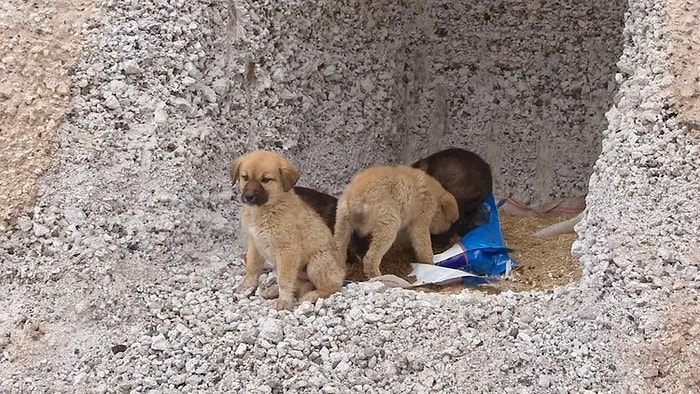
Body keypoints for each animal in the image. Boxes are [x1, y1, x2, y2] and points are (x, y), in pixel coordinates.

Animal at [231, 151, 346, 310]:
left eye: (266, 180)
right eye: (245, 177)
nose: (248, 197)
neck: (265, 210)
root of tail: (342, 272)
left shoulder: (287, 249)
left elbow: (285, 281)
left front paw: (284, 301)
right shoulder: (255, 243)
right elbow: (252, 268)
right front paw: (246, 286)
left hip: (317, 262)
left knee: (333, 286)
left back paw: (312, 295)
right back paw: (274, 290)